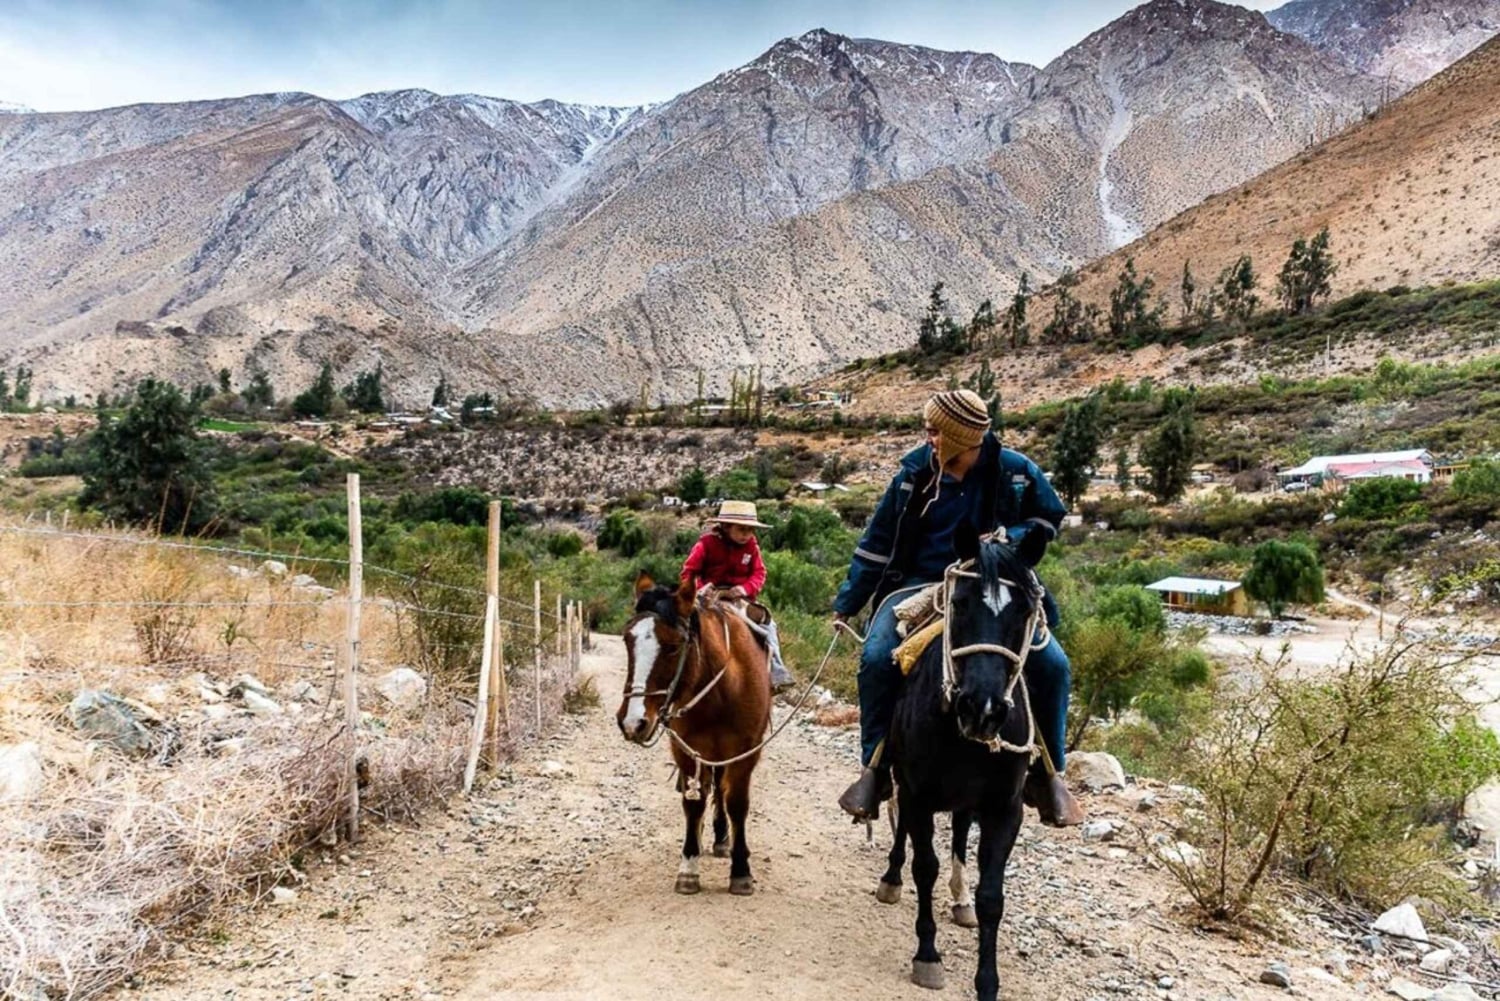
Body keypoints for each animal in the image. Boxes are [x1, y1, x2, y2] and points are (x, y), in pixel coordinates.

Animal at [616, 573, 773, 896]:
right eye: (627, 640)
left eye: (674, 646)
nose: (633, 722)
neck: (723, 689)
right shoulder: (686, 750)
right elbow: (693, 802)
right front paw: (688, 867)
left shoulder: (746, 752)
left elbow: (737, 803)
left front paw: (741, 870)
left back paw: (723, 839)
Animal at [875, 524, 1049, 1001]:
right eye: (960, 603)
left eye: (1024, 610)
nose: (982, 709)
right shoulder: (917, 795)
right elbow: (924, 867)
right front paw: (927, 956)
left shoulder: (1004, 809)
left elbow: (992, 896)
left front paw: (987, 981)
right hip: (903, 782)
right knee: (902, 829)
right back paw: (891, 879)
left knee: (957, 832)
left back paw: (960, 898)